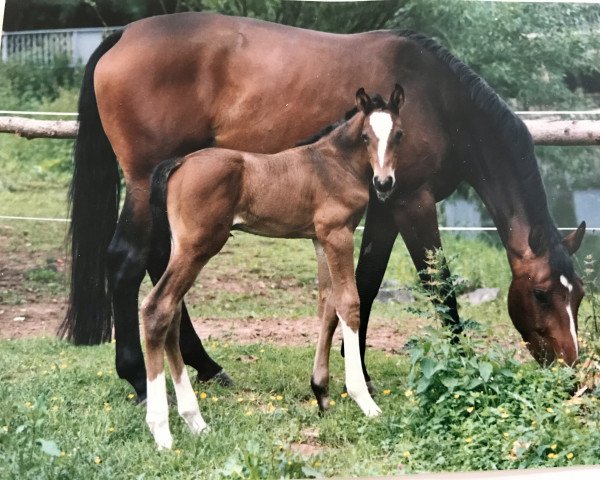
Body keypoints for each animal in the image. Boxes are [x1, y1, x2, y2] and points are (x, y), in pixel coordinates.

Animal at [59, 12, 584, 402]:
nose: (571, 371)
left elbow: (363, 286)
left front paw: (359, 371)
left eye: (578, 295)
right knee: (127, 263)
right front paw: (462, 366)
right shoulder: (413, 203)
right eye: (541, 294)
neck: (439, 100)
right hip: (143, 183)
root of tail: (123, 34)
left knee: (158, 267)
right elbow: (438, 287)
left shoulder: (384, 209)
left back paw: (205, 366)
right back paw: (138, 378)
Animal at [139, 84, 406, 448]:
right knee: (158, 307)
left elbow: (328, 305)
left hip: (182, 248)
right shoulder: (338, 234)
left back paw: (196, 422)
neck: (334, 163)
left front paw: (321, 393)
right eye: (366, 136)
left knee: (173, 312)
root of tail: (180, 161)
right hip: (197, 247)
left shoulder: (320, 239)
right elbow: (349, 303)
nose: (384, 183)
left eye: (399, 134)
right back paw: (163, 432)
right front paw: (364, 400)